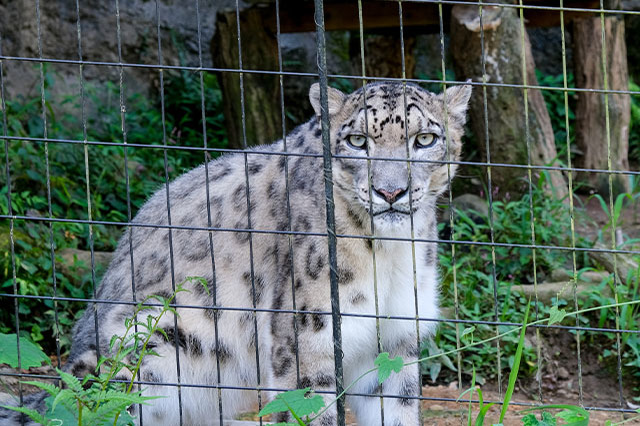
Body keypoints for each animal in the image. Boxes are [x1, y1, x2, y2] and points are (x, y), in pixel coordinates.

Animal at [0, 79, 470, 422]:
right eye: (356, 140)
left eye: (424, 138)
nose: (390, 191)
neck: (390, 253)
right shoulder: (307, 338)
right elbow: (310, 408)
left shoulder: (395, 339)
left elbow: (398, 407)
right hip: (146, 348)